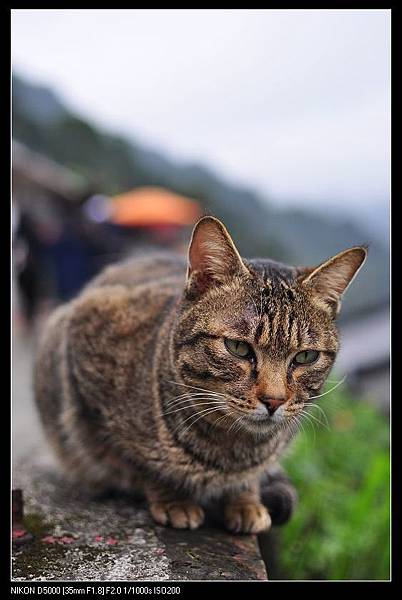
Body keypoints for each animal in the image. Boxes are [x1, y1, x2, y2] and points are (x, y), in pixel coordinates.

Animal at [34, 217, 368, 536]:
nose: (273, 401)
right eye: (238, 348)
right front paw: (174, 498)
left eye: (305, 357)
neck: (231, 452)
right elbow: (135, 459)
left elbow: (250, 479)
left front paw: (246, 501)